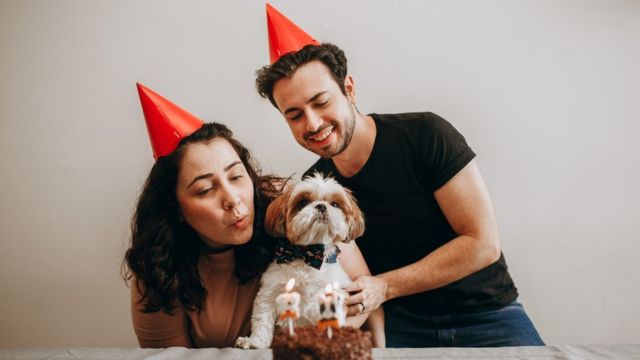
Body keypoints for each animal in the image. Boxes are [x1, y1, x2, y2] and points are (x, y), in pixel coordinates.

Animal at [235, 173, 364, 350]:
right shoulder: (270, 294)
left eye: (335, 204)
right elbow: (262, 320)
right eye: (303, 202)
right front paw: (255, 342)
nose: (322, 206)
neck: (307, 255)